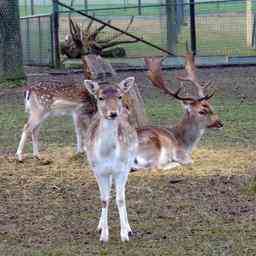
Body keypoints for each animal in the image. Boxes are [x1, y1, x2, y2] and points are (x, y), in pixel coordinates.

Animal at [83, 77, 138, 243]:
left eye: (119, 96)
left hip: (127, 165)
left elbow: (120, 199)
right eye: (100, 97)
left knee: (122, 194)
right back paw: (100, 226)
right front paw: (104, 236)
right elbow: (104, 199)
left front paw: (124, 234)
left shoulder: (121, 170)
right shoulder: (99, 171)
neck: (107, 154)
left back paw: (129, 229)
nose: (113, 113)